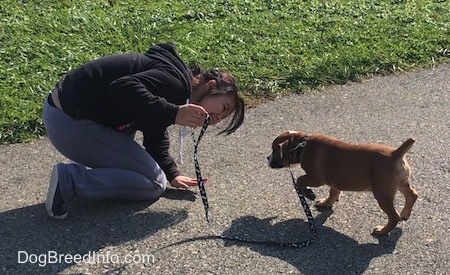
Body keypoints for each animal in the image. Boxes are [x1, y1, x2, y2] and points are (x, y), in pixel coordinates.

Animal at [268, 132, 418, 237]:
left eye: (273, 149)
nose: (267, 158)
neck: (301, 144)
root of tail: (395, 153)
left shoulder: (317, 179)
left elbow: (300, 180)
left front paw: (309, 193)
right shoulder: (333, 180)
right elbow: (333, 192)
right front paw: (326, 203)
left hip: (382, 194)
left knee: (394, 216)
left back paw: (382, 231)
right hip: (401, 184)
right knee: (413, 195)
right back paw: (405, 213)